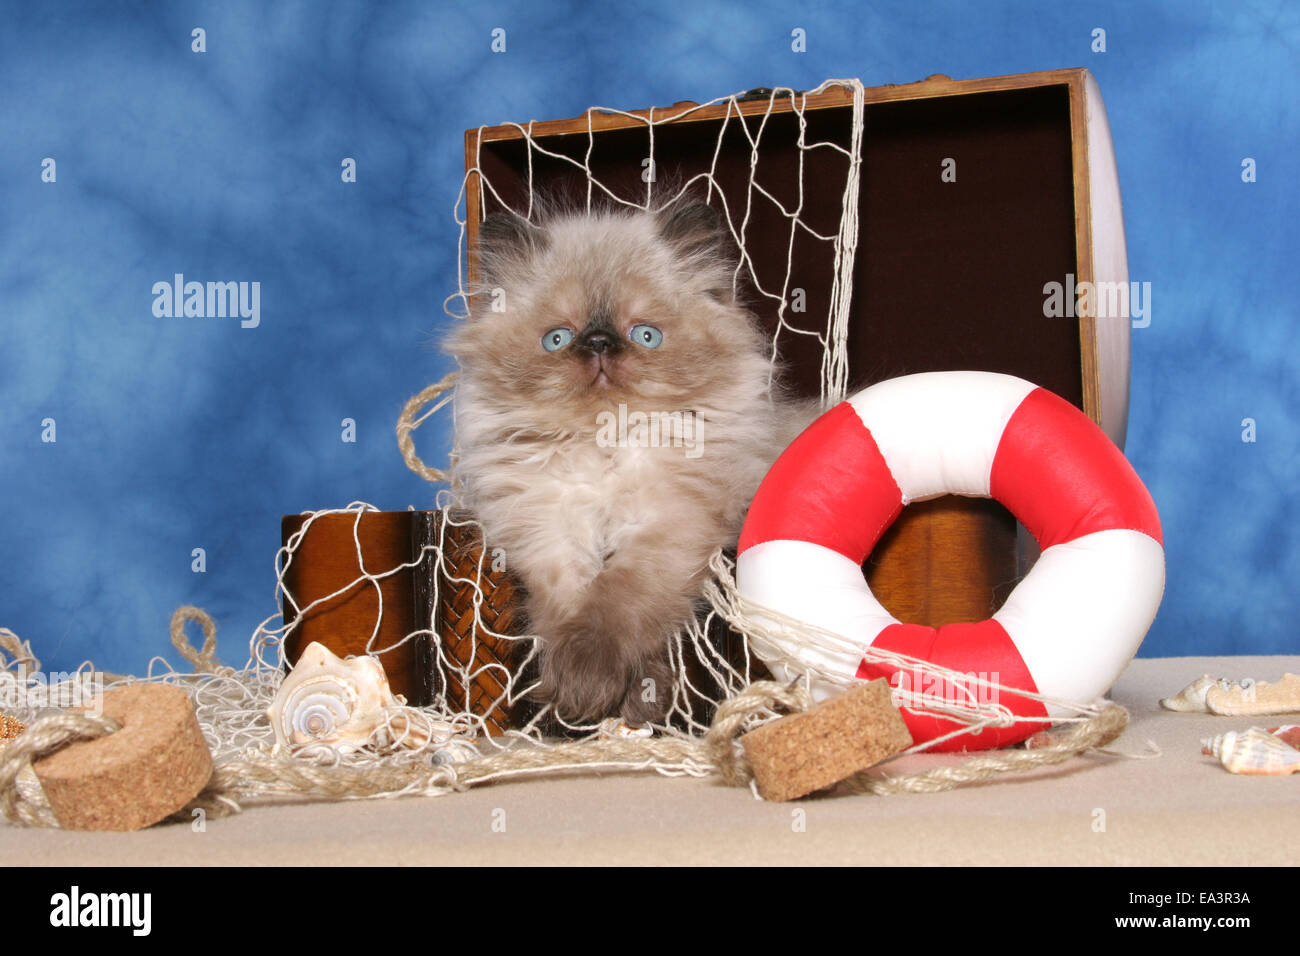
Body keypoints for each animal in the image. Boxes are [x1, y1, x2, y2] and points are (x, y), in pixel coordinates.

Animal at [447, 200, 811, 723]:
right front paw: (590, 694)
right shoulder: (551, 535)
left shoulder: (664, 529)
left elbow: (615, 604)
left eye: (645, 335)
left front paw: (604, 686)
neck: (605, 446)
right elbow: (569, 610)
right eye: (558, 340)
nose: (599, 343)